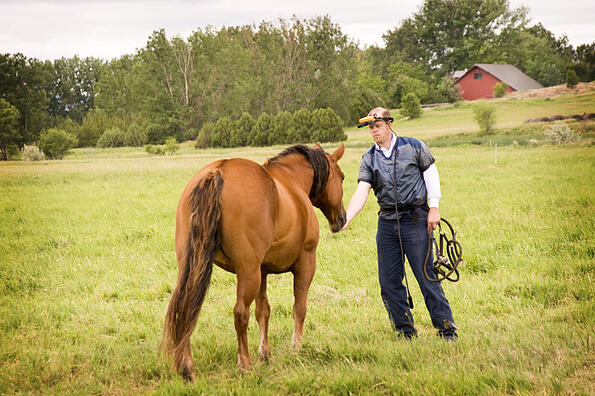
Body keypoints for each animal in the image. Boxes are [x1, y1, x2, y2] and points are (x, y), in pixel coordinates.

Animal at [163, 143, 350, 380]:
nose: (341, 219)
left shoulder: (263, 270)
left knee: (187, 306)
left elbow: (263, 311)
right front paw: (295, 348)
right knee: (240, 312)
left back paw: (186, 367)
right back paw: (244, 364)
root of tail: (217, 172)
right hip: (248, 271)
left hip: (193, 266)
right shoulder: (305, 263)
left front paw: (265, 354)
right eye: (342, 177)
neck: (292, 182)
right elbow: (299, 307)